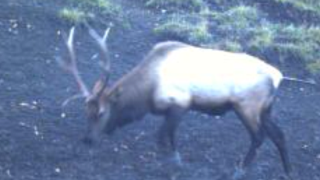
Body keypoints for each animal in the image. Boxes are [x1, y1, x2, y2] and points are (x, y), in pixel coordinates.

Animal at [57, 26, 308, 179]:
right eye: (86, 112)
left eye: (100, 113)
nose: (88, 139)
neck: (147, 91)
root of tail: (278, 76)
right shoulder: (175, 109)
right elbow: (170, 136)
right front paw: (176, 160)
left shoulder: (180, 103)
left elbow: (161, 137)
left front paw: (172, 165)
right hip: (266, 109)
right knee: (279, 135)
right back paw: (289, 171)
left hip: (247, 106)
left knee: (259, 137)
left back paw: (239, 171)